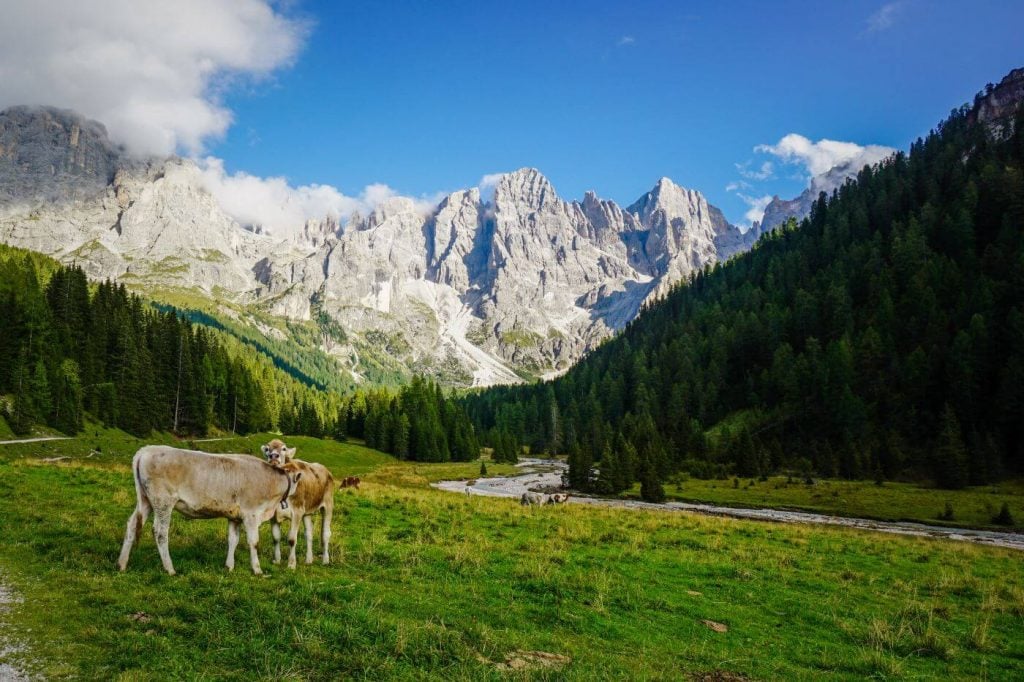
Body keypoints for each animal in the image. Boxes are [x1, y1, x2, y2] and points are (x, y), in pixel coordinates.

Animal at [117, 444, 299, 569]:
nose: (274, 456)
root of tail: (147, 450)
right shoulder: (251, 515)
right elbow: (253, 542)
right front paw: (257, 569)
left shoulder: (234, 516)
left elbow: (233, 540)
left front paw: (229, 566)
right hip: (163, 501)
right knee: (160, 532)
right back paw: (169, 568)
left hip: (145, 500)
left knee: (132, 525)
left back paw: (121, 564)